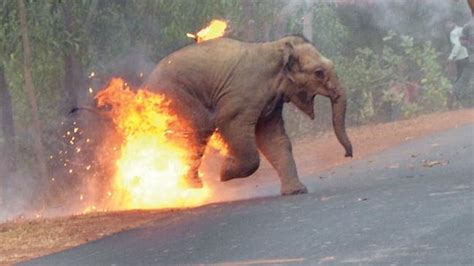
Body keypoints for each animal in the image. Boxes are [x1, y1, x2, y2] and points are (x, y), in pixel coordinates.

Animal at [143, 34, 352, 195]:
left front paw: (297, 191)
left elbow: (273, 138)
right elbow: (230, 124)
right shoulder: (242, 96)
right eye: (319, 73)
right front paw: (225, 172)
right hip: (177, 98)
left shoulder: (271, 103)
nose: (347, 155)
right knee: (193, 134)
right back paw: (190, 187)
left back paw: (188, 187)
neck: (277, 48)